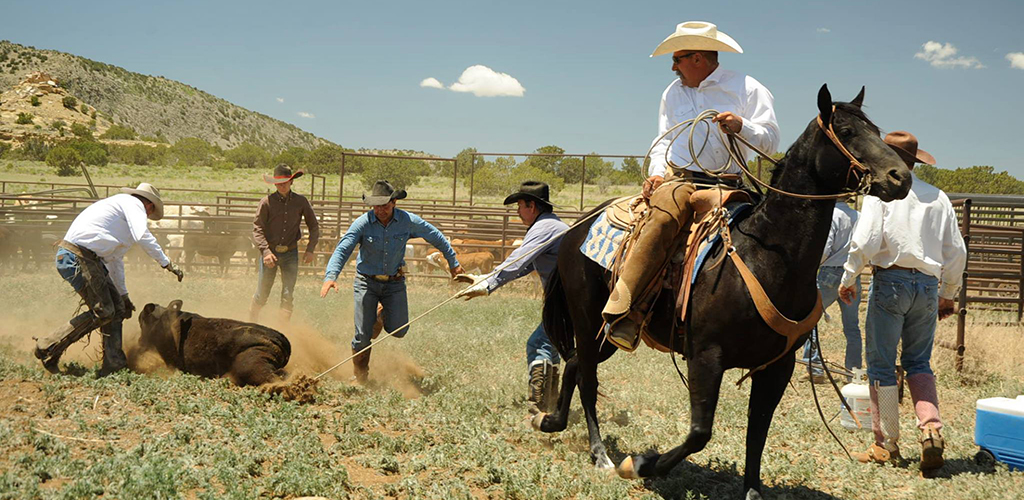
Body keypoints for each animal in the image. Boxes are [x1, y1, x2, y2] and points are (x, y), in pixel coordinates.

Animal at [536, 86, 913, 500]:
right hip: (588, 320)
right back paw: (601, 453)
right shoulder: (706, 357)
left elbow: (757, 432)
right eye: (846, 131)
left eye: (876, 131)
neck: (764, 255)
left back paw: (552, 421)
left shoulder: (776, 366)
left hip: (608, 333)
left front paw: (752, 491)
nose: (901, 177)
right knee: (587, 378)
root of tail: (575, 229)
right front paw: (641, 464)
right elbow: (700, 432)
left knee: (575, 364)